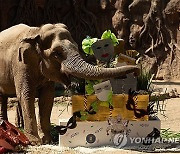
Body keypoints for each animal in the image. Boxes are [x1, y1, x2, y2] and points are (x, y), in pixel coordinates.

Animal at [0, 23, 139, 144]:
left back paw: (9, 127)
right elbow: (26, 95)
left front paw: (48, 140)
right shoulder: (20, 64)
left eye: (77, 47)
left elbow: (47, 98)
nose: (137, 69)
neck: (36, 32)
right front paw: (35, 142)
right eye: (56, 54)